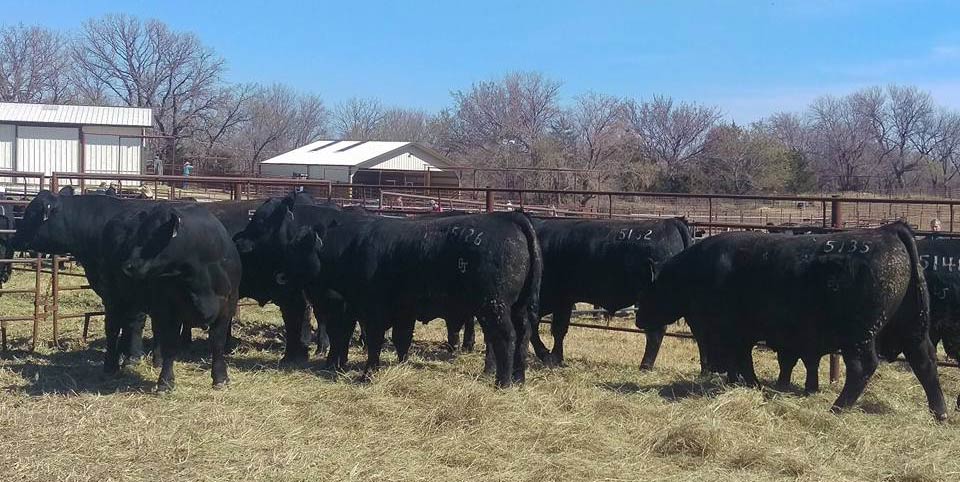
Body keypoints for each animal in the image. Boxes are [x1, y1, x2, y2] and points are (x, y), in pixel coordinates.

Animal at [103, 202, 242, 388]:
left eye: (152, 236)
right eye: (138, 234)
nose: (128, 266)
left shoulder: (227, 305)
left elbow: (217, 343)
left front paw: (220, 378)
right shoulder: (170, 308)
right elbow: (170, 344)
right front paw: (165, 381)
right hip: (112, 296)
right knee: (112, 328)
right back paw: (110, 366)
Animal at [276, 209, 540, 386]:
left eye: (297, 248)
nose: (279, 275)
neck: (351, 247)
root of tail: (508, 218)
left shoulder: (373, 311)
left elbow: (375, 342)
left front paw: (368, 375)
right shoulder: (401, 311)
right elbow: (401, 339)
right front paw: (400, 365)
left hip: (494, 306)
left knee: (505, 337)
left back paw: (503, 382)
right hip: (517, 307)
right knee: (522, 335)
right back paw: (519, 378)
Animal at [632, 224, 948, 420]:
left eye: (649, 291)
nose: (637, 318)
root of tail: (889, 230)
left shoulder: (732, 331)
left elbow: (740, 359)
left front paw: (751, 384)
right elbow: (739, 361)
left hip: (859, 335)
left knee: (863, 367)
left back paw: (837, 408)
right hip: (912, 328)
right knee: (925, 362)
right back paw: (940, 413)